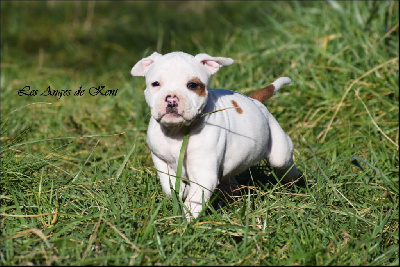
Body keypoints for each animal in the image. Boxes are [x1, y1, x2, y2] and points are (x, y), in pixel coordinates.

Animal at [131, 51, 300, 220]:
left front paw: (187, 223)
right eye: (155, 84)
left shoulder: (204, 175)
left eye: (192, 85)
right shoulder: (160, 160)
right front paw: (181, 192)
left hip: (279, 151)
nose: (171, 98)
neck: (177, 131)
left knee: (285, 163)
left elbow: (194, 201)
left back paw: (295, 181)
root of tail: (254, 100)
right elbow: (169, 185)